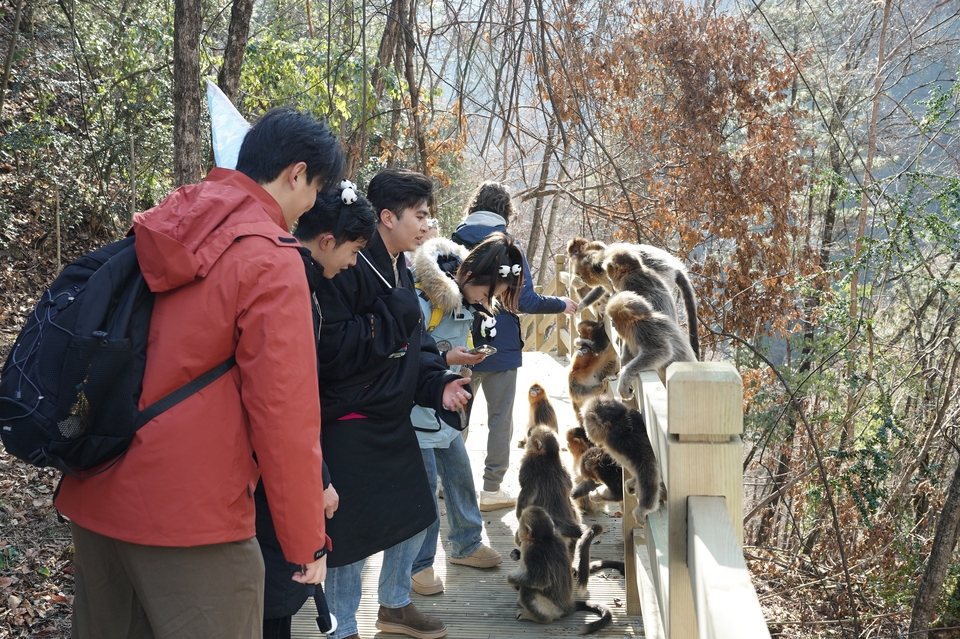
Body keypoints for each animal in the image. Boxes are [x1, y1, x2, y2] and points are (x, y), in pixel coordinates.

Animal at [516, 424, 584, 552]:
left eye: (531, 435)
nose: (529, 430)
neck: (548, 456)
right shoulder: (563, 466)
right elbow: (570, 488)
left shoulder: (528, 465)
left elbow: (526, 493)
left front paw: (518, 514)